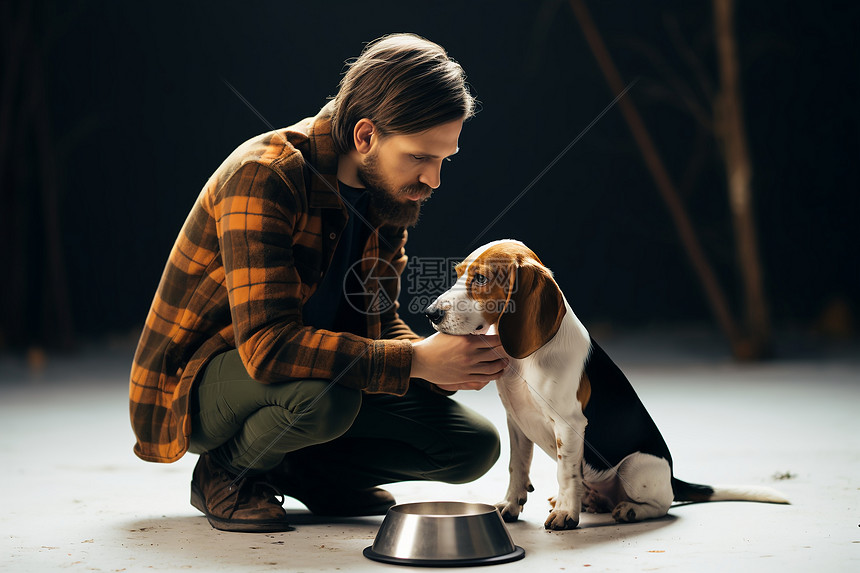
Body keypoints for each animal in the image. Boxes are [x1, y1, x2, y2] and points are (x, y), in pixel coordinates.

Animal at [424, 239, 788, 528]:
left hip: (637, 468)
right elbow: (518, 467)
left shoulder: (569, 425)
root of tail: (672, 477)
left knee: (663, 506)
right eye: (458, 273)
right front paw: (511, 506)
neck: (526, 360)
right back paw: (589, 501)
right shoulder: (517, 421)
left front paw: (565, 516)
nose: (430, 313)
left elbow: (566, 472)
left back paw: (627, 510)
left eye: (481, 279)